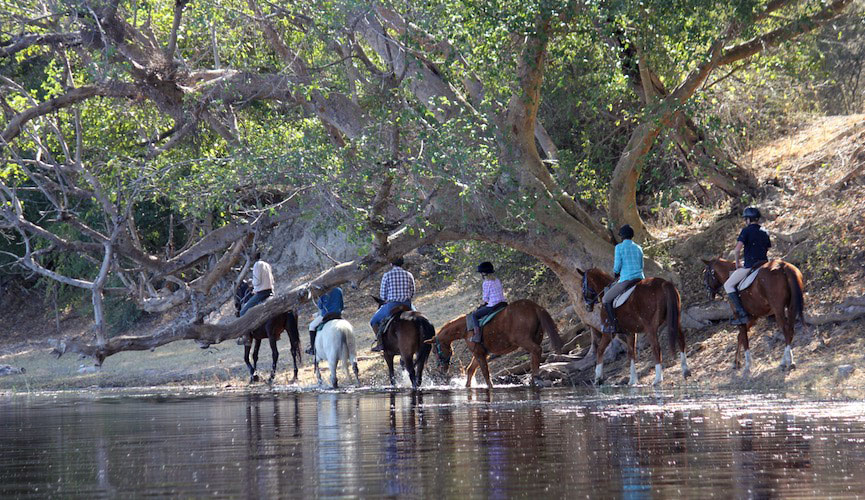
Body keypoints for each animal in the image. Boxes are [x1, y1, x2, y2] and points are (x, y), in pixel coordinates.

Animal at [426, 298, 564, 388]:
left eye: (434, 350)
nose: (441, 370)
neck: (466, 328)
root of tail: (534, 306)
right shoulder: (481, 353)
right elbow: (471, 370)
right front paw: (467, 386)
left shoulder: (479, 353)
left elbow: (485, 372)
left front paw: (490, 386)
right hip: (536, 337)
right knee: (534, 355)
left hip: (524, 340)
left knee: (537, 350)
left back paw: (536, 378)